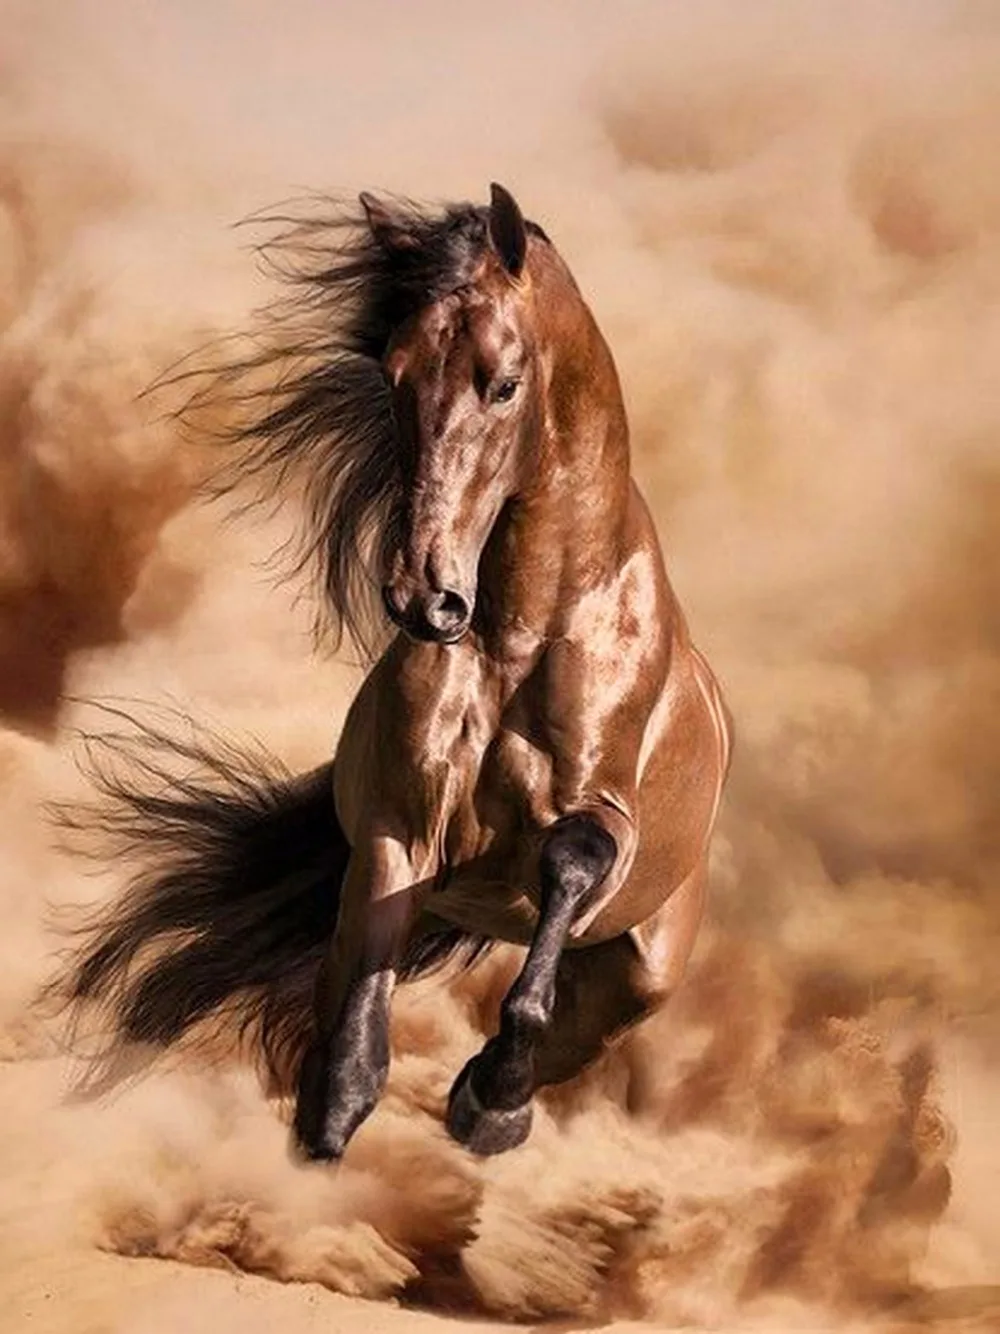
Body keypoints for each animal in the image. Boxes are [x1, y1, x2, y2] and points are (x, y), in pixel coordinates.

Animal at [60, 183, 733, 1161]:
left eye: (503, 382)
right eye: (394, 373)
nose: (426, 597)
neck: (527, 629)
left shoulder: (605, 814)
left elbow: (569, 860)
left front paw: (492, 1100)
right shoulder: (399, 827)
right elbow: (353, 1048)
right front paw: (333, 1119)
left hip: (638, 973)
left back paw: (496, 1095)